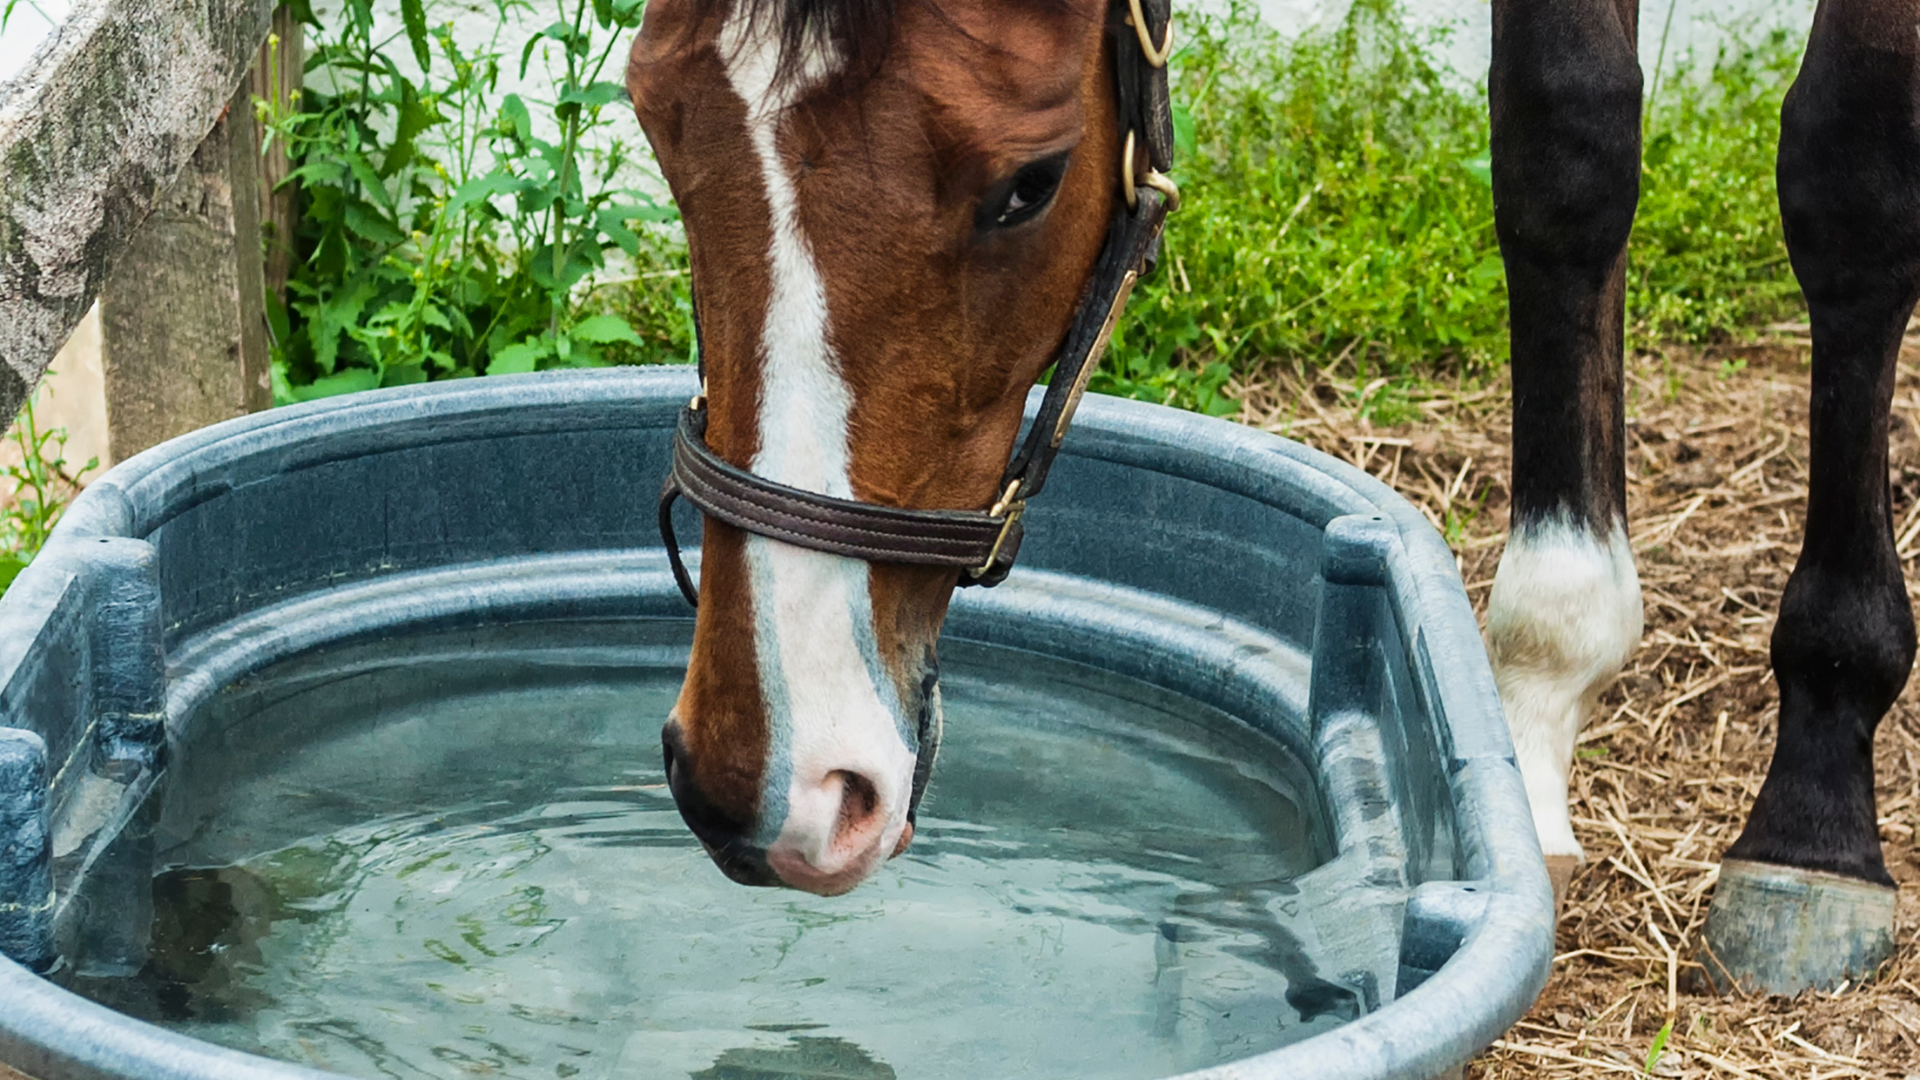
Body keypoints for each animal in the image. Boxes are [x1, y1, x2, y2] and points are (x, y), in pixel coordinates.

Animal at [622, 0, 1912, 983]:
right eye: (656, 122)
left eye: (1028, 186)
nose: (765, 786)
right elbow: (1566, 150)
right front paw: (1540, 724)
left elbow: (1852, 174)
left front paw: (1818, 809)